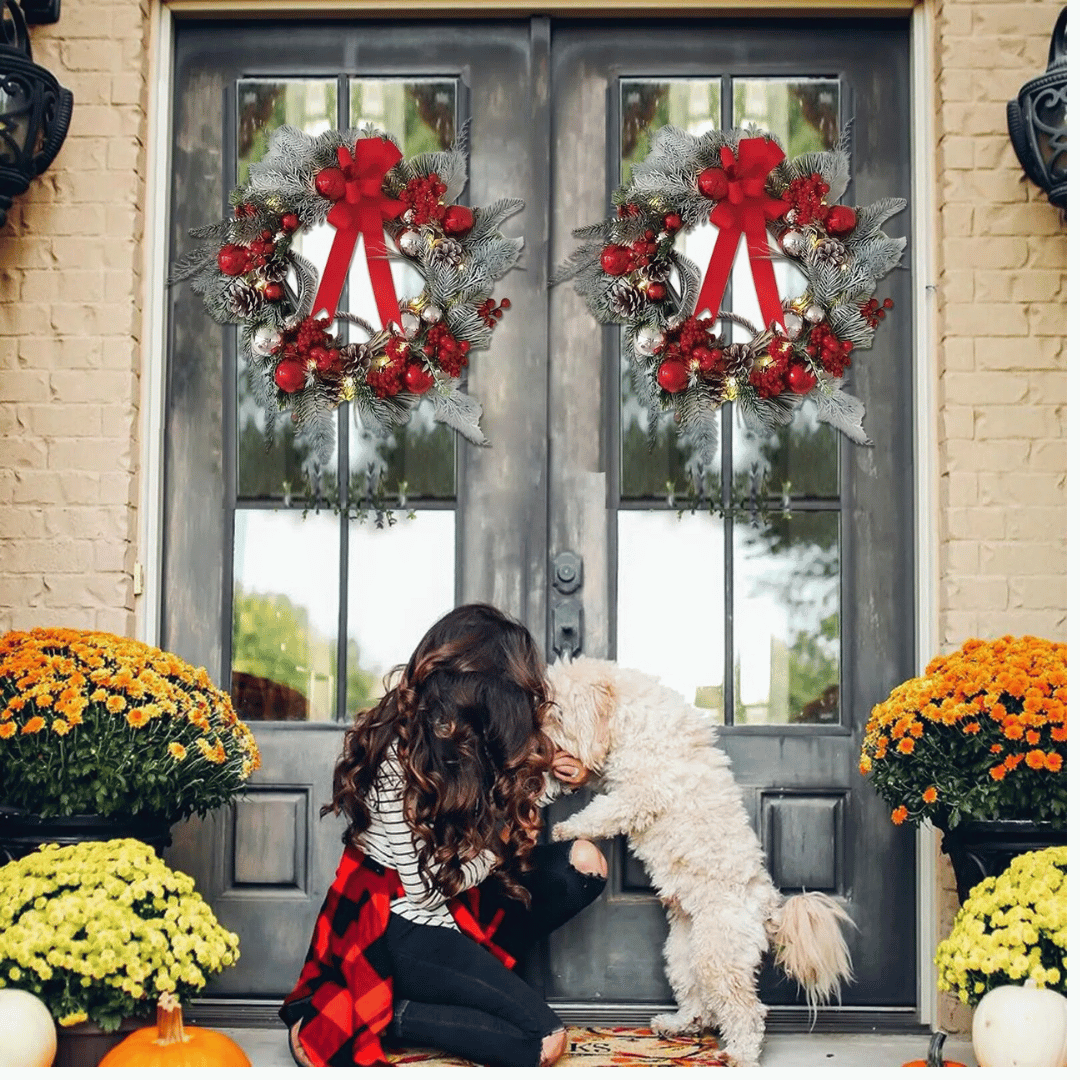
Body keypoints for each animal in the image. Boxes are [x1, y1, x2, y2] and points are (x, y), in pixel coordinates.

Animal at [544, 652, 855, 1067]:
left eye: (556, 711)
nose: (538, 739)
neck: (632, 718)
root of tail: (766, 906)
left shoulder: (640, 794)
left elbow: (601, 812)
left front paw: (565, 828)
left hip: (718, 955)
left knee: (746, 1011)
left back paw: (739, 1055)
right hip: (682, 955)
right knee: (699, 1003)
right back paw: (678, 1026)